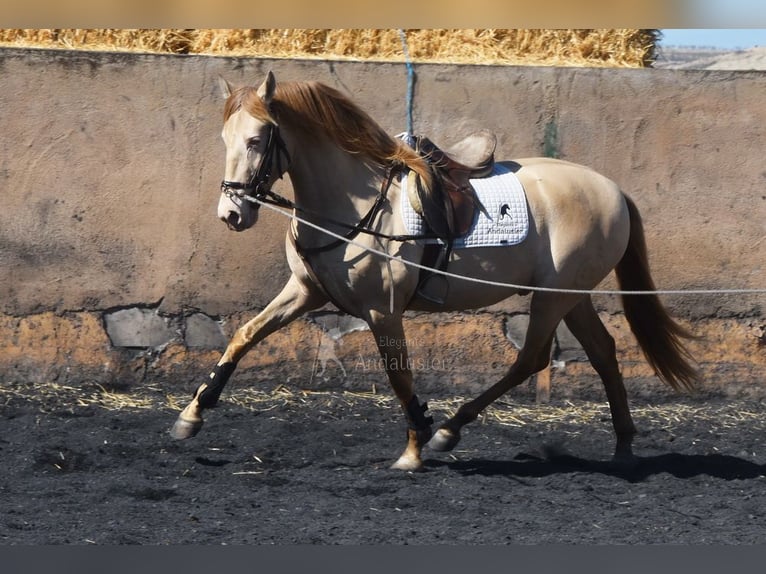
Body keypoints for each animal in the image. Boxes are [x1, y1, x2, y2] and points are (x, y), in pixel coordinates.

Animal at [171, 71, 700, 472]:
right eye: (225, 139)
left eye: (257, 140)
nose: (231, 214)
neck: (356, 205)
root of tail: (613, 190)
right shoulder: (304, 292)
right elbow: (244, 336)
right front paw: (192, 414)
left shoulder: (382, 311)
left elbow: (400, 376)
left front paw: (415, 446)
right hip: (571, 295)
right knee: (603, 352)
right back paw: (623, 446)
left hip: (553, 296)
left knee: (531, 359)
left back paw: (449, 430)